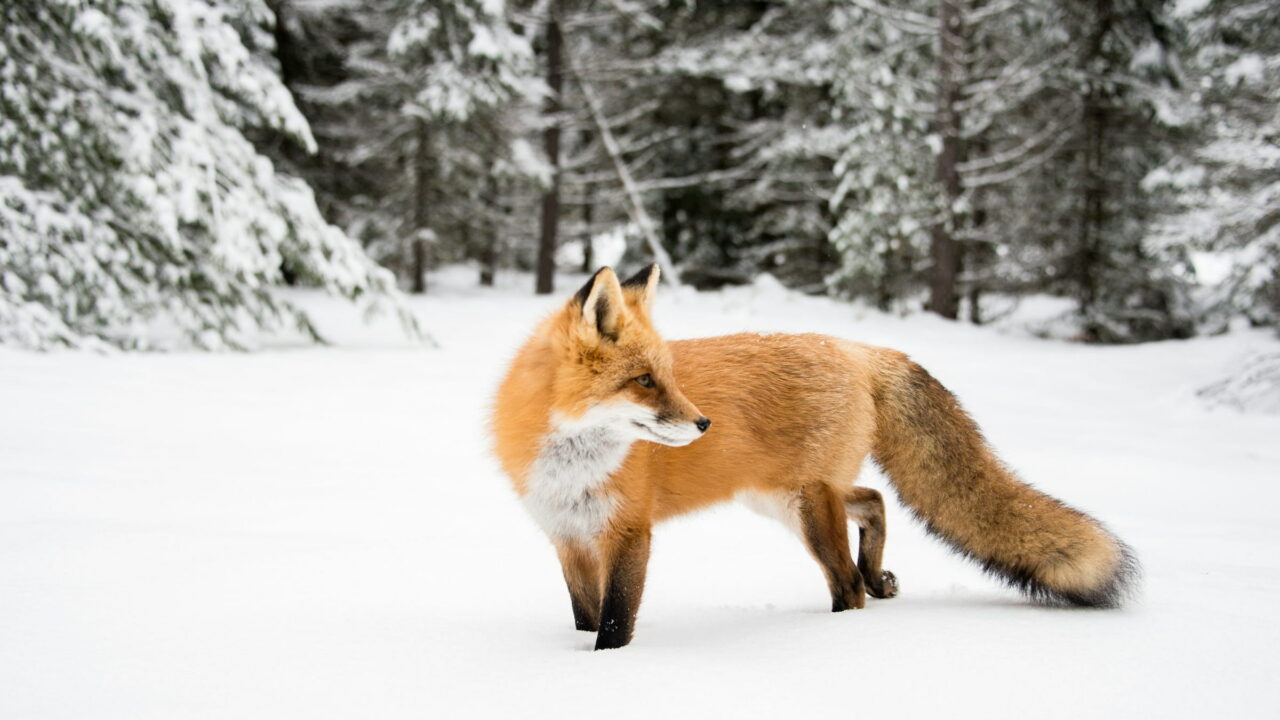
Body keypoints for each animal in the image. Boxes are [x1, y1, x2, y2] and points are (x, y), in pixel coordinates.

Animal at [492, 264, 1137, 650]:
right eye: (645, 381)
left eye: (667, 377)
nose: (703, 423)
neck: (572, 466)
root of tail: (857, 349)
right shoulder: (568, 537)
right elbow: (584, 614)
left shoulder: (628, 533)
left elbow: (615, 621)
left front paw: (606, 668)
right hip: (783, 498)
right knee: (873, 501)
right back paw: (878, 577)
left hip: (805, 506)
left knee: (847, 582)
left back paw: (833, 630)